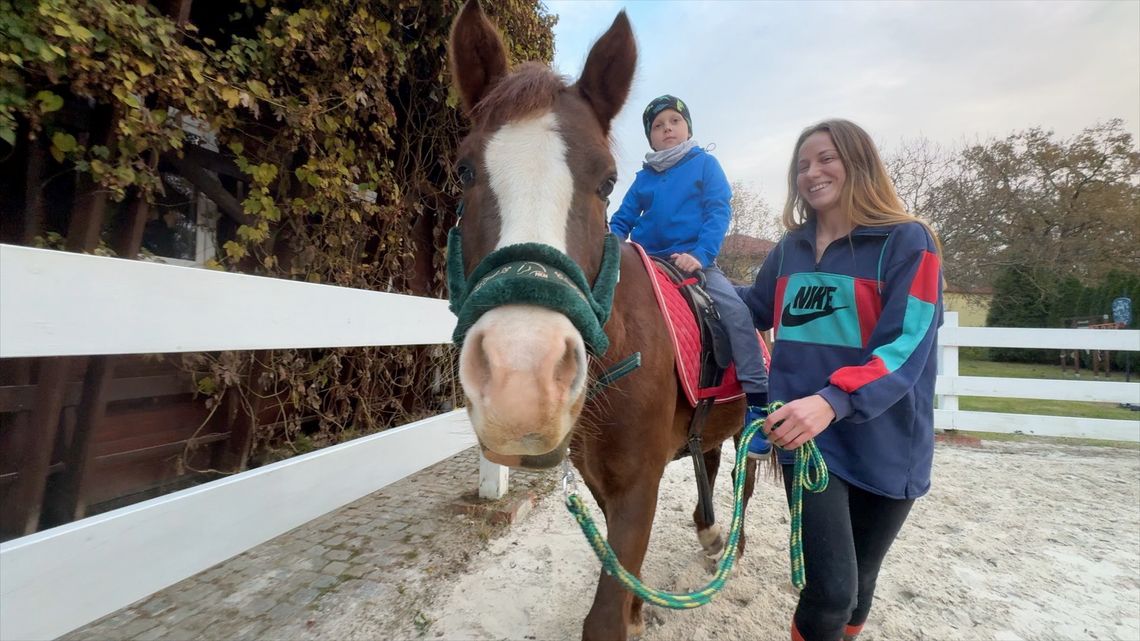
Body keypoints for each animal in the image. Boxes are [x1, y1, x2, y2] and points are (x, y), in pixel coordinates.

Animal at [449, 2, 761, 634]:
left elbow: (605, 617)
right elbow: (623, 578)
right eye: (464, 172)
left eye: (607, 180)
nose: (524, 381)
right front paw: (639, 607)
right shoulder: (598, 481)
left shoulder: (638, 483)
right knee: (711, 460)